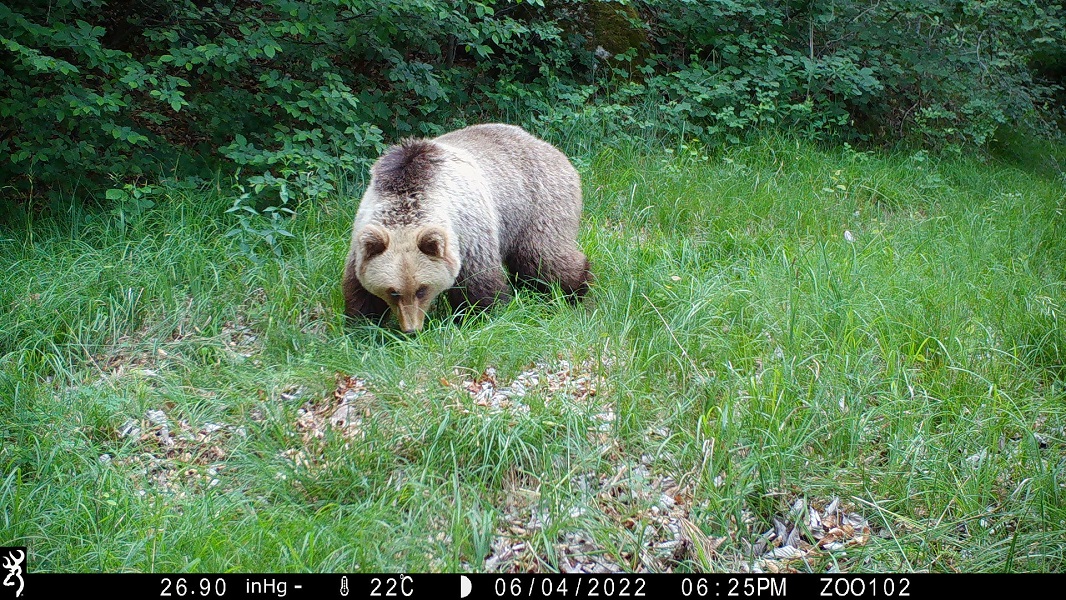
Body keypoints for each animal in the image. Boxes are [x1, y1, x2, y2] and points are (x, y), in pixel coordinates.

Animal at [341, 123, 592, 332]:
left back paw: (575, 290)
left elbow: (478, 282)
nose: (412, 329)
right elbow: (360, 289)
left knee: (541, 256)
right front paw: (363, 326)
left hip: (536, 204)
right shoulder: (363, 234)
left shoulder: (469, 231)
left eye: (422, 289)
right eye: (393, 291)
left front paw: (480, 316)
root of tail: (548, 146)